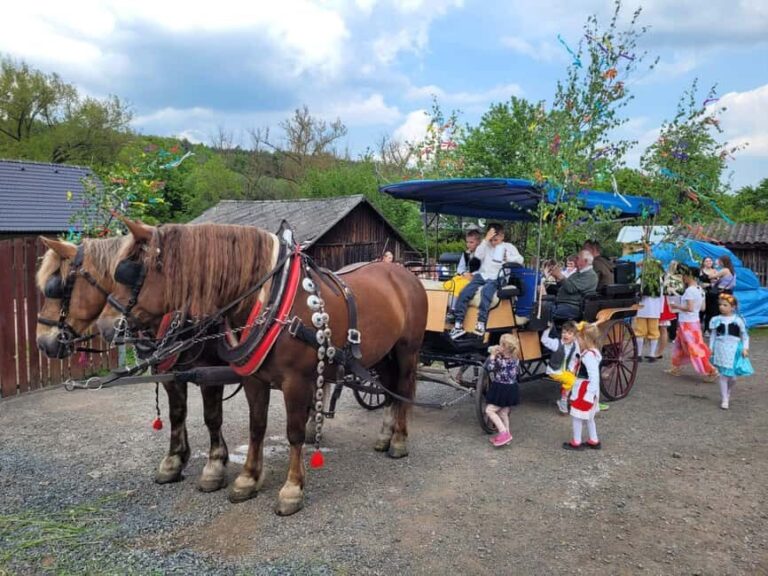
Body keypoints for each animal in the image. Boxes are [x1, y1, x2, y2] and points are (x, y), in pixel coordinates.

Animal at [35, 236, 233, 492]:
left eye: (56, 288)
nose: (42, 343)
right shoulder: (169, 373)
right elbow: (177, 413)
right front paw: (174, 461)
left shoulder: (209, 373)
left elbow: (212, 417)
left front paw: (215, 465)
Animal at [97, 218, 428, 515]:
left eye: (134, 274)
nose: (106, 327)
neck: (273, 300)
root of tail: (405, 274)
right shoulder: (254, 380)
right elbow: (256, 427)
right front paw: (247, 479)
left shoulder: (297, 382)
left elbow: (294, 433)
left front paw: (292, 489)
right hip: (383, 354)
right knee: (389, 389)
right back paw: (385, 436)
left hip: (407, 352)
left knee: (402, 389)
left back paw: (399, 440)